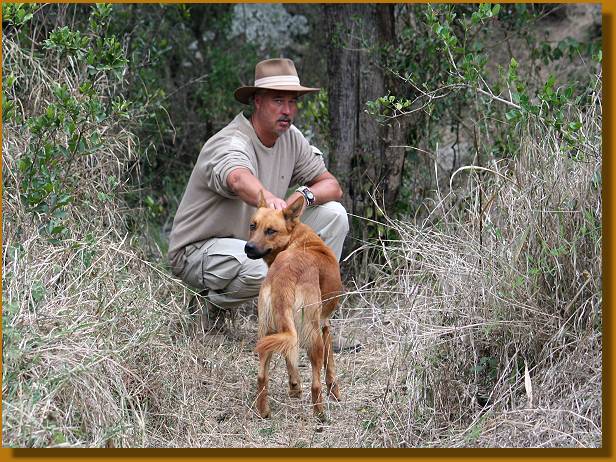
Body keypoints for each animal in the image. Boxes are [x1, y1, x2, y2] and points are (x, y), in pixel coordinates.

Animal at [244, 189, 342, 420]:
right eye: (253, 226)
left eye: (270, 230)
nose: (248, 247)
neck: (298, 240)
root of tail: (285, 273)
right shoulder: (325, 326)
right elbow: (330, 367)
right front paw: (335, 393)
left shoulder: (287, 329)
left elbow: (290, 359)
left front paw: (294, 387)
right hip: (313, 336)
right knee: (316, 383)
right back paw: (320, 414)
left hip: (267, 332)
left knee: (262, 376)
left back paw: (264, 412)